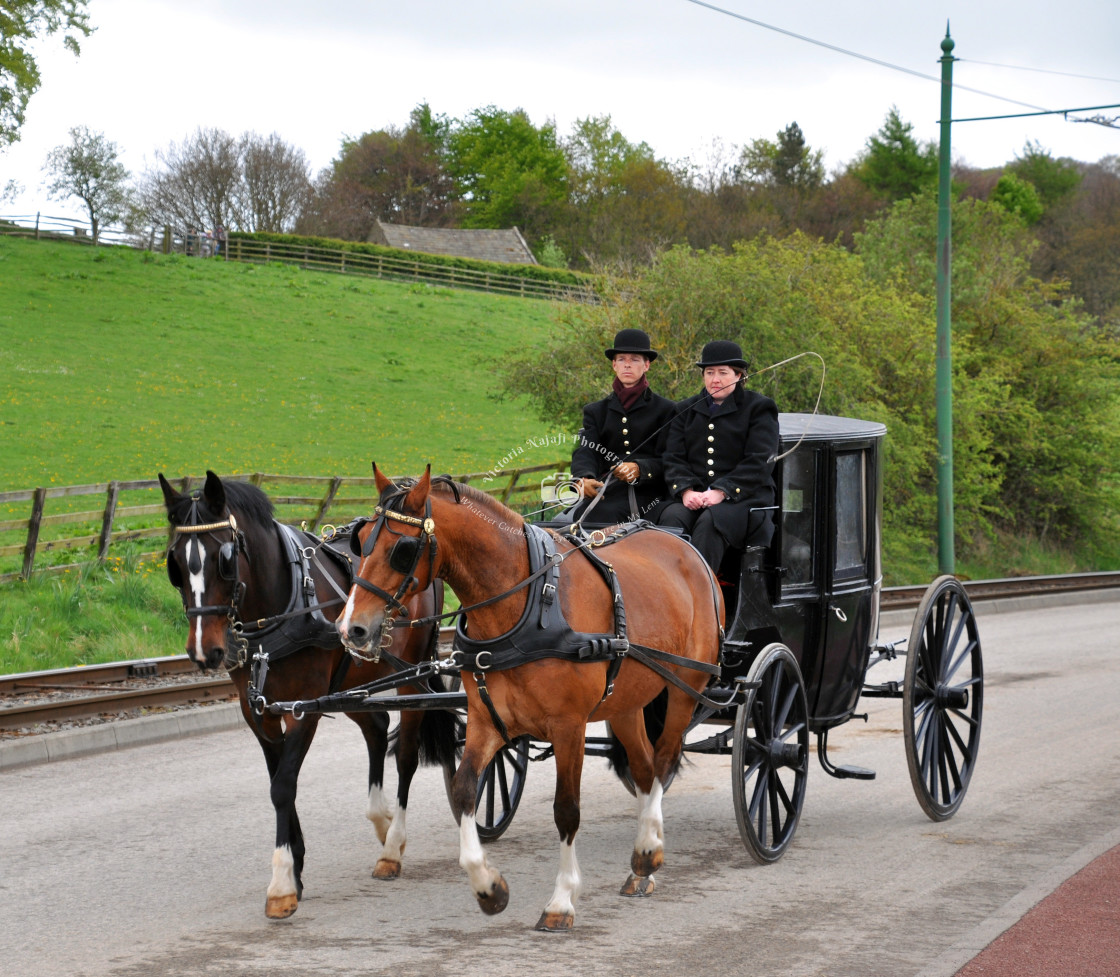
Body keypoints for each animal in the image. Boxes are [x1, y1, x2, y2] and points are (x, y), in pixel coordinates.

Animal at [160, 468, 456, 918]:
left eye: (224, 559)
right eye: (175, 562)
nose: (204, 650)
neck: (283, 603)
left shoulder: (304, 709)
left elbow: (283, 785)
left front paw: (282, 883)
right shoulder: (258, 710)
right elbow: (278, 782)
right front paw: (296, 868)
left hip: (410, 675)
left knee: (405, 754)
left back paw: (392, 847)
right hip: (352, 680)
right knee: (376, 726)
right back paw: (380, 818)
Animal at [338, 466, 725, 932]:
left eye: (402, 548)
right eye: (361, 541)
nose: (352, 629)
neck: (526, 603)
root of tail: (683, 547)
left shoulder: (569, 726)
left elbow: (567, 810)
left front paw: (561, 901)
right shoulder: (486, 719)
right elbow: (465, 791)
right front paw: (488, 887)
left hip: (686, 686)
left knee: (665, 760)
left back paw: (648, 853)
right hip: (627, 702)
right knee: (647, 770)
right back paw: (640, 864)